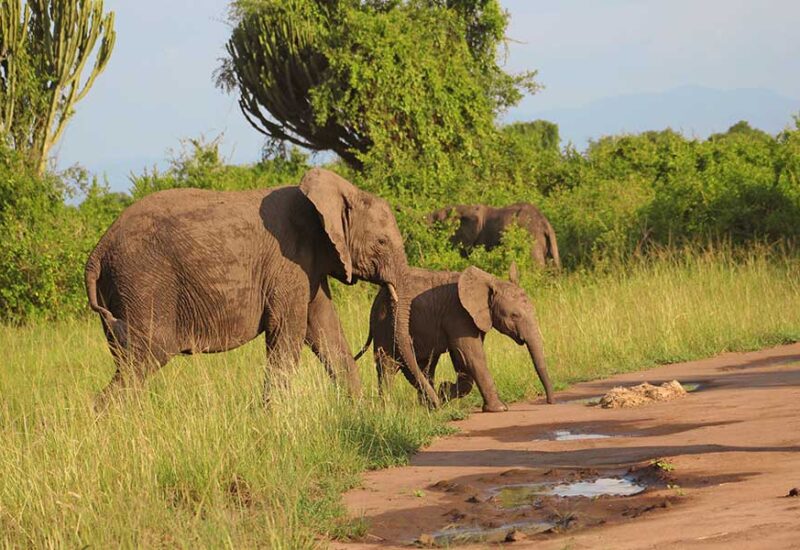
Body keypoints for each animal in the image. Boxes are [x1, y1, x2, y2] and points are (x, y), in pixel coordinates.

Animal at [85, 168, 440, 408]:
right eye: (381, 242)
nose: (434, 406)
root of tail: (98, 251)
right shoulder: (288, 261)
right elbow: (288, 331)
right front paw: (274, 419)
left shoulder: (308, 266)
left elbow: (325, 329)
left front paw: (361, 413)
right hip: (143, 281)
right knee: (146, 355)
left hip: (120, 290)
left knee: (129, 359)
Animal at [354, 264, 554, 411]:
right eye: (514, 315)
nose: (549, 402)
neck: (490, 281)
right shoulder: (458, 315)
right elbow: (471, 356)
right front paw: (500, 409)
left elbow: (464, 362)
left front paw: (443, 392)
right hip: (384, 324)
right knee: (387, 365)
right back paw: (389, 409)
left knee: (425, 365)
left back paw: (428, 405)